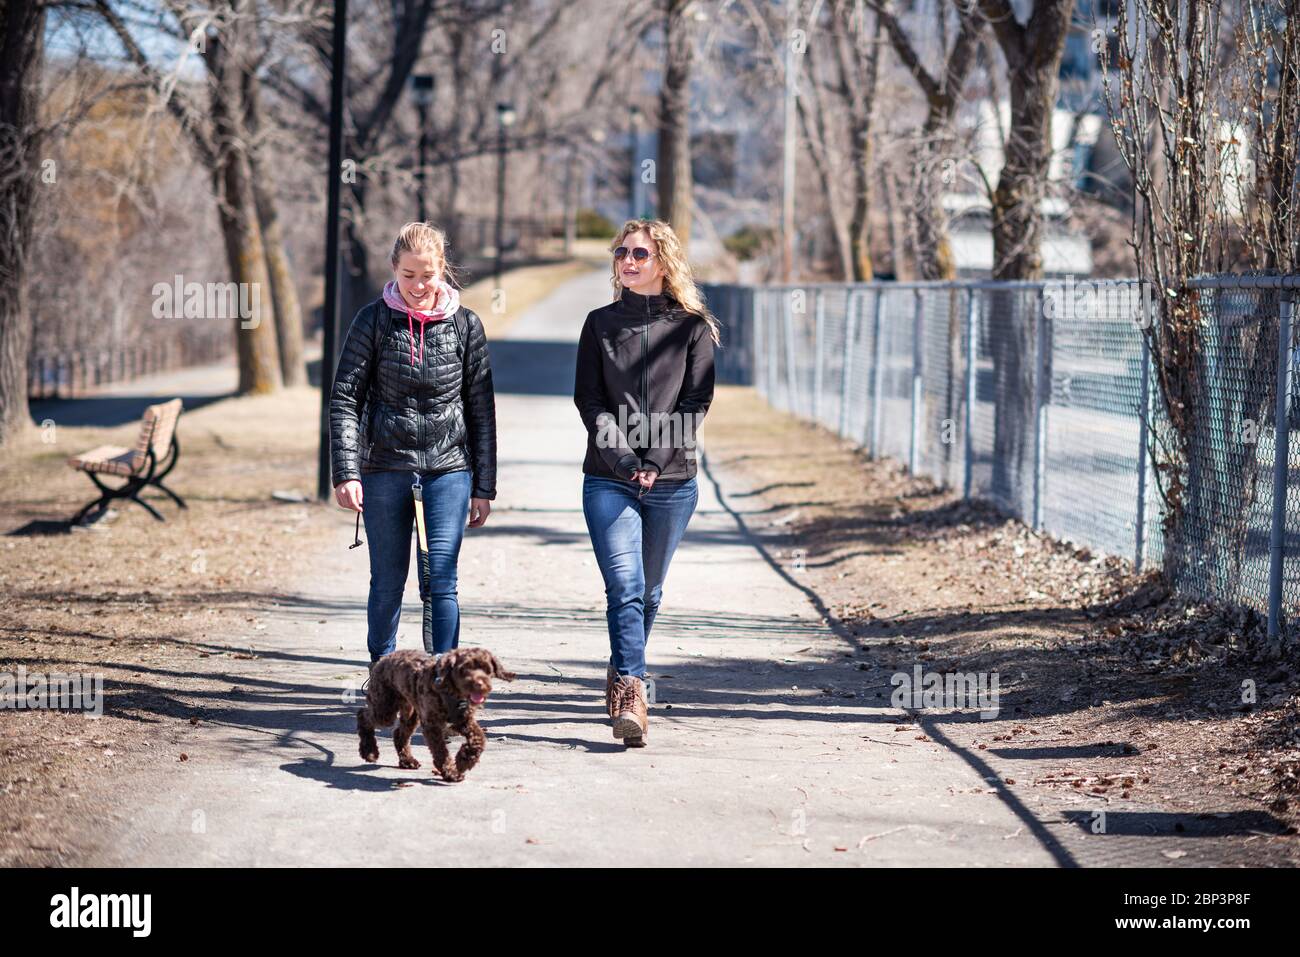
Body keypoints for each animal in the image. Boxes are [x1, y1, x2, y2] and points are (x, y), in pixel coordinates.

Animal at [361, 647, 517, 780]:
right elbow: (440, 750)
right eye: (464, 669)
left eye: (487, 669)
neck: (451, 690)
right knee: (364, 715)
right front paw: (451, 772)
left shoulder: (463, 719)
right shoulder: (432, 725)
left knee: (400, 733)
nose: (479, 684)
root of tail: (383, 659)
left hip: (411, 711)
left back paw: (407, 760)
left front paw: (464, 761)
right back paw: (369, 751)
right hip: (385, 708)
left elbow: (479, 739)